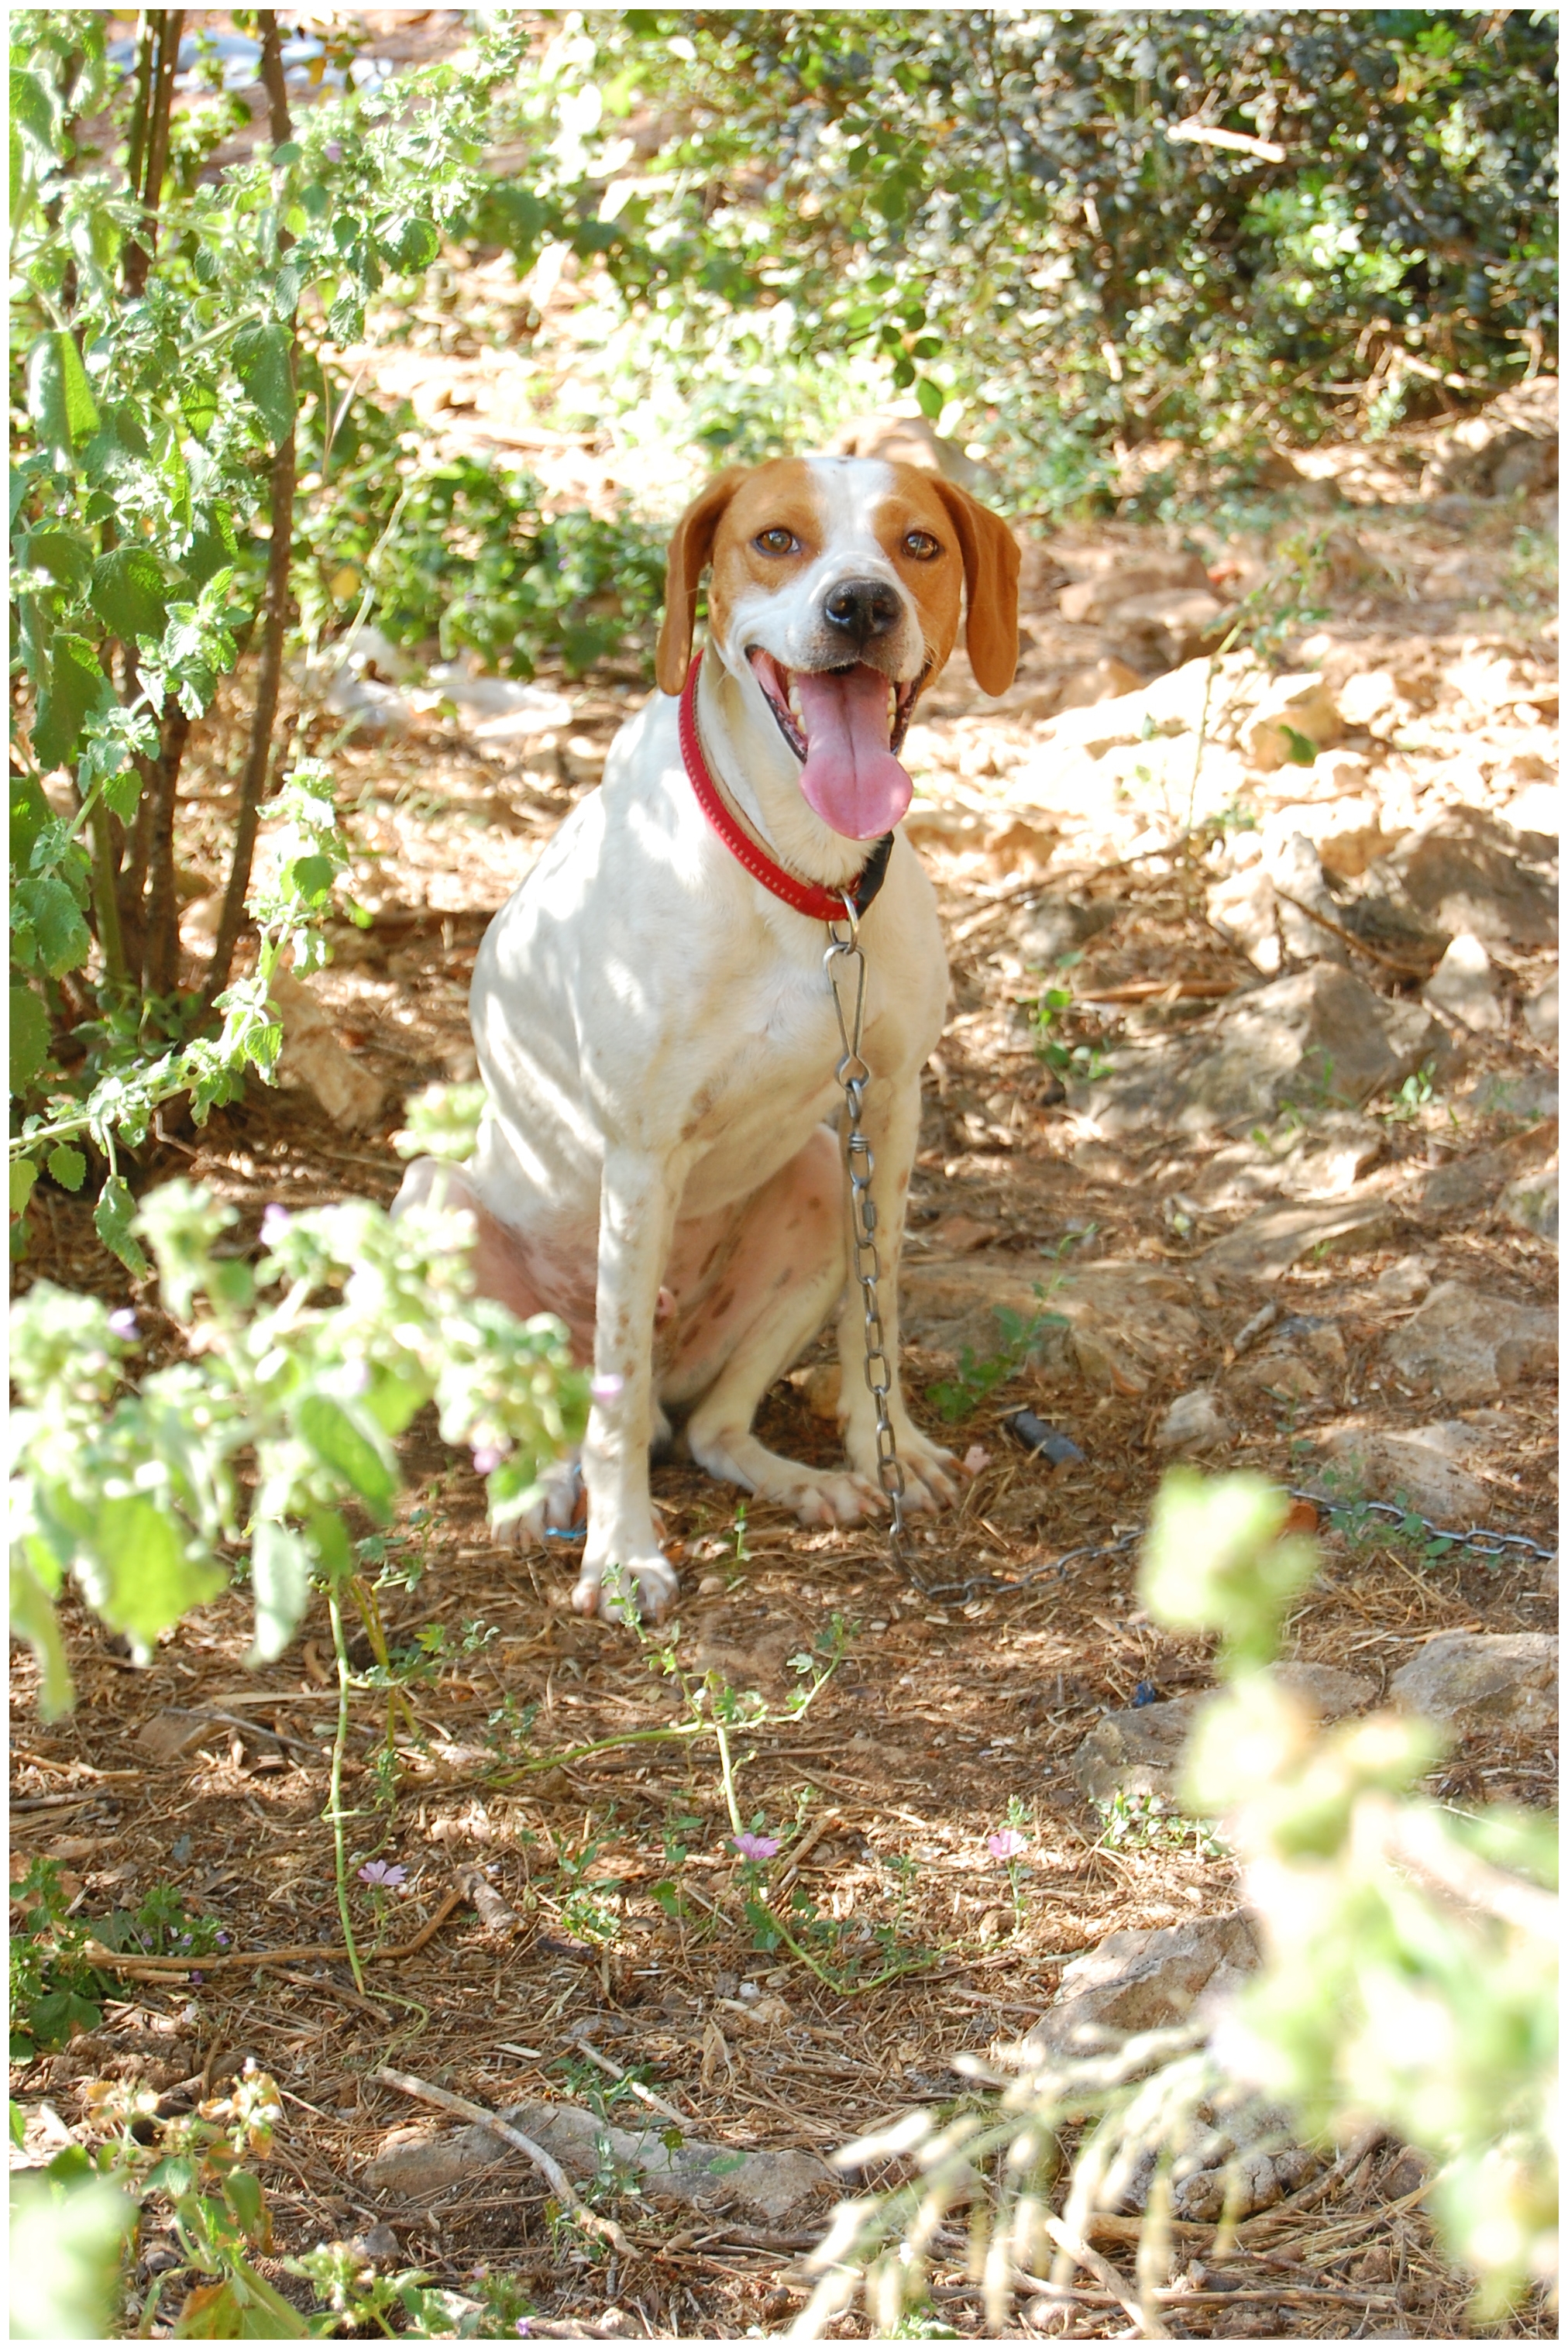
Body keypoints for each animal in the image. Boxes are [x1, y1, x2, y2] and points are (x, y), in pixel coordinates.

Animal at [399, 456, 1023, 1616]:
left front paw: (887, 1449)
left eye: (918, 544)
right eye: (776, 540)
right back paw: (537, 1490)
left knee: (708, 1429)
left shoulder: (890, 1104)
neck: (808, 877)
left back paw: (803, 1481)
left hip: (817, 1173)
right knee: (565, 1416)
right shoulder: (642, 1155)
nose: (861, 605)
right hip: (434, 1206)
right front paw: (622, 1554)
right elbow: (614, 1391)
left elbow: (880, 1304)